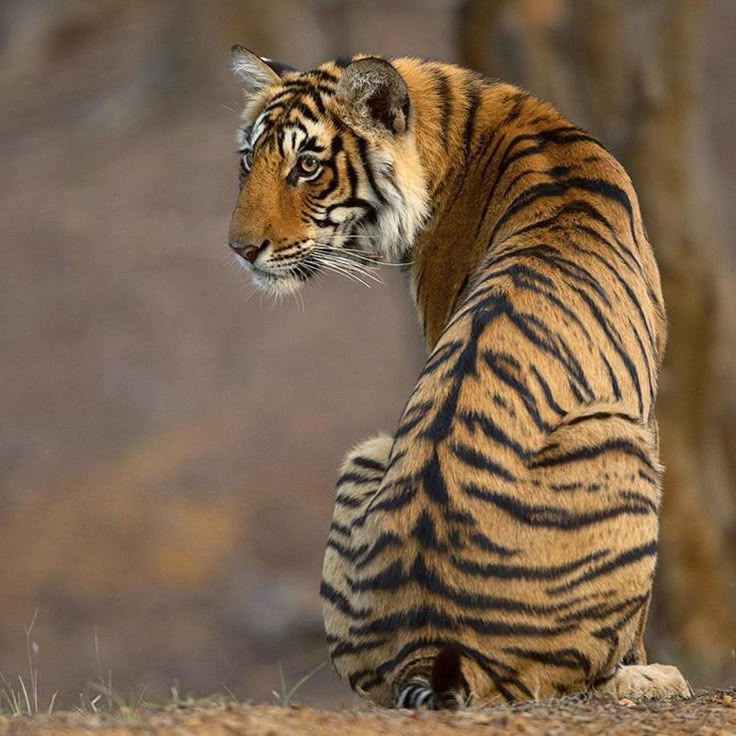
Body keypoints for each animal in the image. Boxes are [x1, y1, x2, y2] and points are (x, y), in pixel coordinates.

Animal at [226, 46, 692, 708]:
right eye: (249, 159)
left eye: (307, 166)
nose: (240, 250)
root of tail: (429, 643)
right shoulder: (645, 411)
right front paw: (644, 665)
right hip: (620, 443)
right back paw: (648, 678)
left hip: (371, 454)